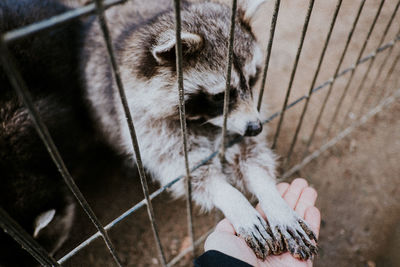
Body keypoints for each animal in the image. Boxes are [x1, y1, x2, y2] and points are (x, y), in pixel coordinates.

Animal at [83, 0, 318, 262]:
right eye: (219, 96)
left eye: (253, 79)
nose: (256, 128)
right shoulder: (145, 122)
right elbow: (189, 172)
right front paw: (234, 200)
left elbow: (252, 157)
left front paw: (274, 201)